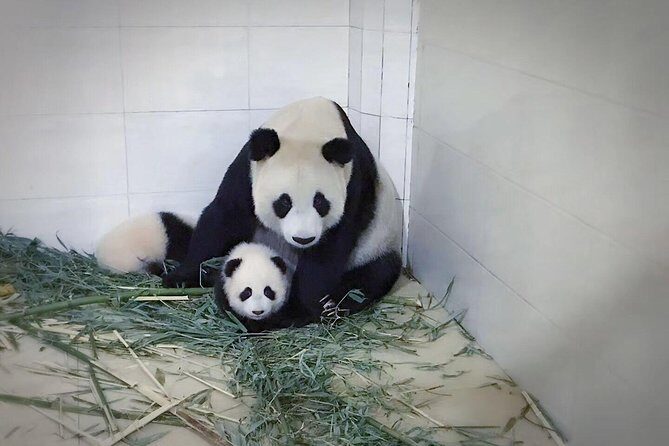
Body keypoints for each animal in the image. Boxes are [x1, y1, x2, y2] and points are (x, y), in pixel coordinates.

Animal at [97, 97, 402, 327]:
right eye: (283, 203)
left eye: (321, 202)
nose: (303, 239)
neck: (309, 127)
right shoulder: (249, 168)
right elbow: (224, 216)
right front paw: (183, 276)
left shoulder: (354, 185)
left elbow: (331, 248)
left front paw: (300, 307)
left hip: (377, 245)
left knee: (376, 274)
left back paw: (337, 302)